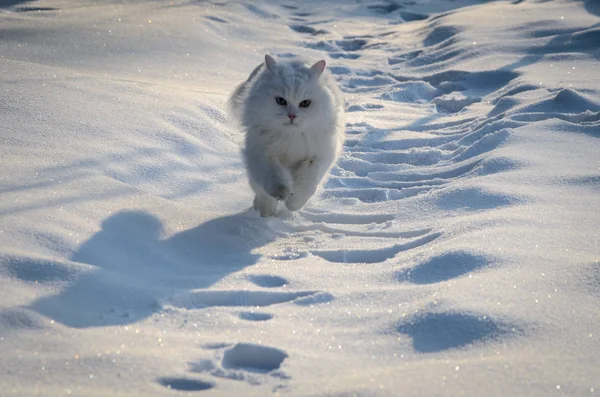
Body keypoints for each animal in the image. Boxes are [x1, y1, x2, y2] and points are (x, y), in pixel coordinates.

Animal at [229, 54, 344, 217]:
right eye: (281, 101)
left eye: (305, 103)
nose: (292, 116)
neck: (291, 137)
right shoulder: (262, 153)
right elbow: (275, 179)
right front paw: (281, 196)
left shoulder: (318, 156)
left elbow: (306, 184)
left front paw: (293, 204)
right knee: (259, 189)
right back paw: (264, 210)